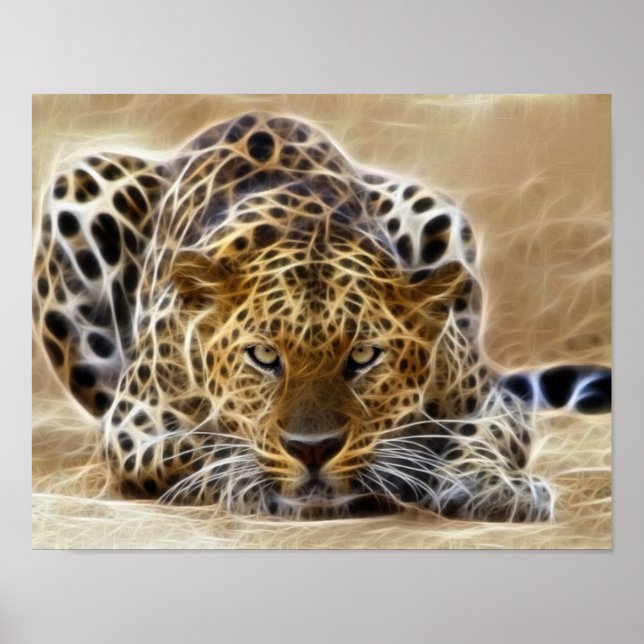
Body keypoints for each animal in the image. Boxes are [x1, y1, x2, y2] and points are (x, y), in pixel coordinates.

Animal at [32, 112, 611, 521]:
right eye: (264, 356)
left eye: (365, 356)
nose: (313, 451)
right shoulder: (136, 426)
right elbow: (202, 446)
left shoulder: (490, 403)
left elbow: (483, 437)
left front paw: (497, 486)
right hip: (79, 187)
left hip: (435, 210)